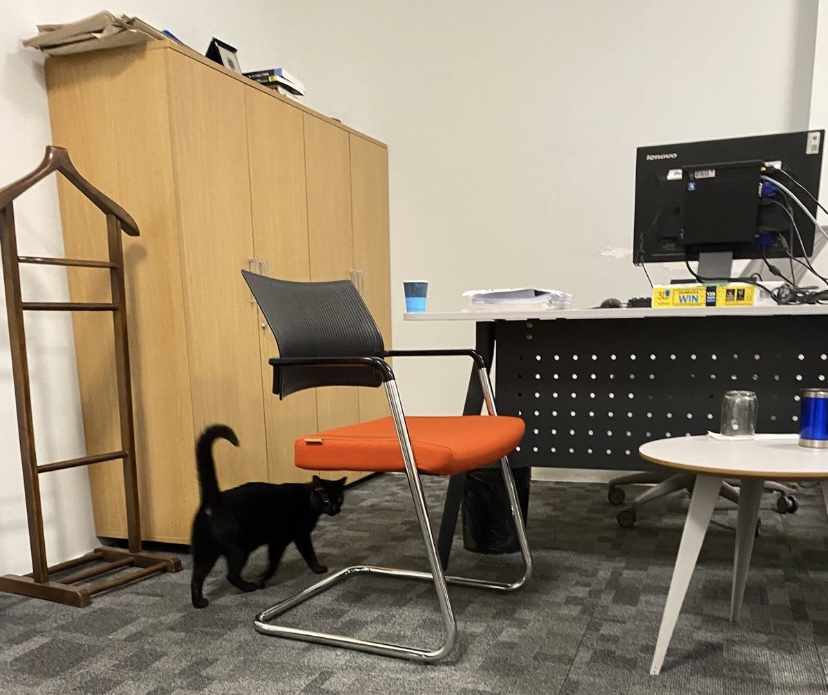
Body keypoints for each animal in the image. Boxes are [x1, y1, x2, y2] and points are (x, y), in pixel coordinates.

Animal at [190, 424, 346, 608]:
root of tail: (214, 499)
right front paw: (317, 569)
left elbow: (277, 560)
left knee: (196, 577)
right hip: (239, 548)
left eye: (339, 499)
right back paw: (249, 586)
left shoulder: (281, 539)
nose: (335, 508)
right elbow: (302, 555)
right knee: (231, 574)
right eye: (326, 498)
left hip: (205, 552)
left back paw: (199, 602)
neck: (307, 501)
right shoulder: (291, 537)